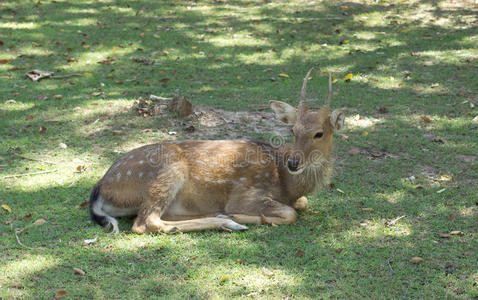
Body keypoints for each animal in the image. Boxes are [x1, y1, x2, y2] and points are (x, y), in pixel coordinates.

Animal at [88, 69, 344, 233]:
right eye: (293, 129)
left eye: (319, 133)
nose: (294, 163)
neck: (286, 184)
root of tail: (100, 189)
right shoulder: (245, 194)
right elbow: (291, 213)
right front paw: (241, 216)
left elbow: (301, 204)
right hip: (168, 170)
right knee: (145, 223)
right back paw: (229, 222)